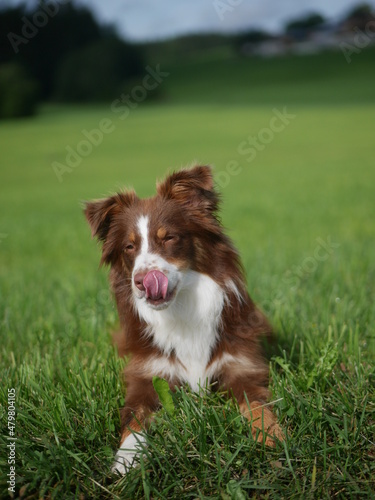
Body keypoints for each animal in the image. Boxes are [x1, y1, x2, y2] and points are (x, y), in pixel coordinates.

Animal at [85, 166, 284, 474]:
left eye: (168, 238)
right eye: (129, 247)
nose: (142, 281)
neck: (183, 308)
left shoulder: (241, 367)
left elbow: (257, 406)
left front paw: (271, 439)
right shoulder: (148, 374)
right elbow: (134, 417)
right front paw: (126, 459)